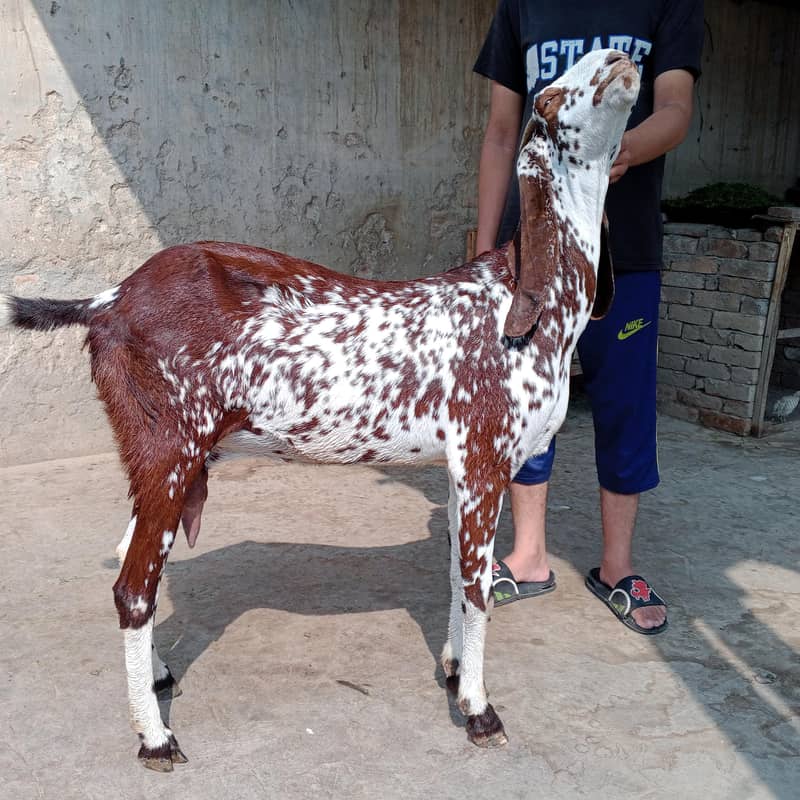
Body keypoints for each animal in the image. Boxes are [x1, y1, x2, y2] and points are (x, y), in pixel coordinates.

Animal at [1, 50, 639, 770]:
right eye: (554, 94)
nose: (620, 59)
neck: (519, 300)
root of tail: (109, 301)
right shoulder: (483, 456)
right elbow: (478, 586)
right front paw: (478, 710)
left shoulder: (458, 468)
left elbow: (454, 572)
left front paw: (452, 672)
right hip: (169, 450)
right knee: (132, 586)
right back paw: (155, 737)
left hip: (162, 460)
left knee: (130, 559)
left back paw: (159, 678)